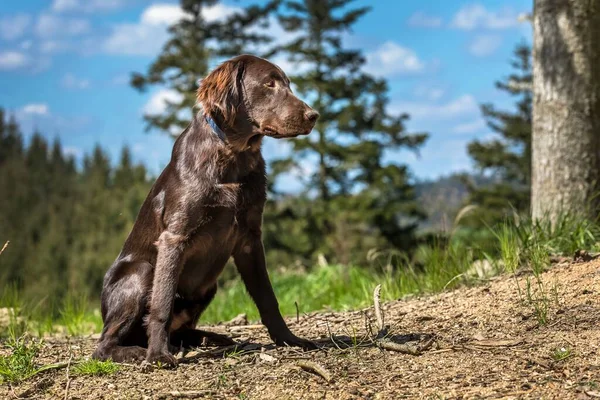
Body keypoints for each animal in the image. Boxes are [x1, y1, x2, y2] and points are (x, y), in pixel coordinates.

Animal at [91, 55, 318, 366]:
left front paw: (289, 339)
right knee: (102, 346)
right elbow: (161, 303)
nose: (314, 115)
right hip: (142, 272)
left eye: (288, 84)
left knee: (181, 331)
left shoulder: (249, 238)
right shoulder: (174, 238)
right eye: (269, 84)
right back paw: (138, 351)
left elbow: (268, 298)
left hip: (209, 285)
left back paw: (210, 339)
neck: (233, 156)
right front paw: (158, 354)